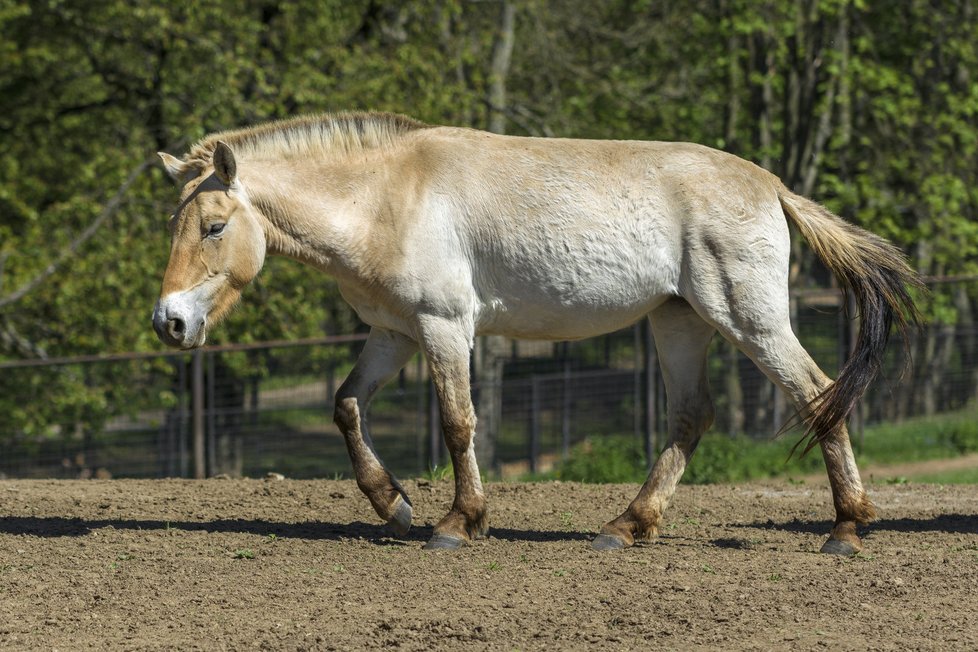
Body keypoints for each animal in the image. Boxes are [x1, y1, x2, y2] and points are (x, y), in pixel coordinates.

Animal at [154, 111, 924, 552]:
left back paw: (846, 530)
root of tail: (772, 187)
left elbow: (458, 423)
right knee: (691, 417)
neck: (385, 197)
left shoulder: (443, 328)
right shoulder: (394, 334)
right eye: (176, 223)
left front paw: (457, 524)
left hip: (748, 319)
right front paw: (395, 507)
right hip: (680, 323)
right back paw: (624, 528)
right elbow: (346, 407)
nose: (170, 322)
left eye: (214, 226)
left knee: (817, 393)